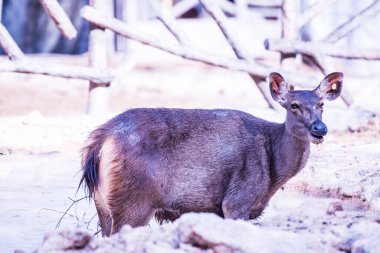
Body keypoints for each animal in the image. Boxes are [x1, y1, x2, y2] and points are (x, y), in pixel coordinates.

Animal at [78, 72, 342, 236]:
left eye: (321, 104)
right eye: (293, 105)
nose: (319, 129)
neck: (273, 173)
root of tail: (101, 141)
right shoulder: (237, 200)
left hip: (103, 205)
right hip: (133, 201)